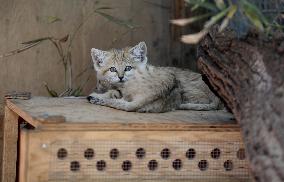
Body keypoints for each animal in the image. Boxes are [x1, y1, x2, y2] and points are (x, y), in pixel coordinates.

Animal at [87, 41, 223, 112]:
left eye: (128, 68)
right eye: (112, 69)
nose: (120, 77)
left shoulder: (123, 88)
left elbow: (113, 92)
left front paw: (99, 95)